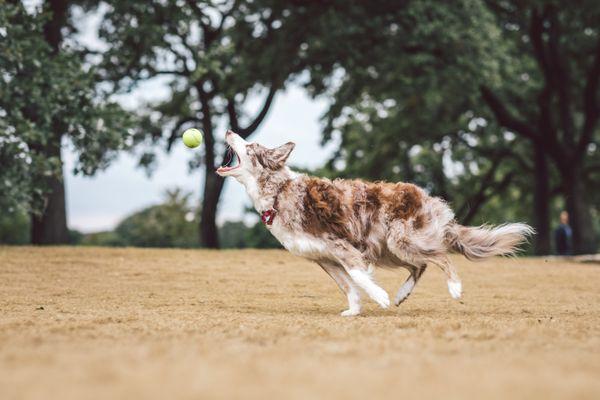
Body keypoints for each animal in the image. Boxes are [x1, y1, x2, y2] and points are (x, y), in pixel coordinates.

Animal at [217, 131, 536, 316]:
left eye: (250, 145)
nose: (229, 130)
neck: (279, 191)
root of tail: (429, 198)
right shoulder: (324, 257)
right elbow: (348, 285)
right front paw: (354, 311)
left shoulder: (342, 246)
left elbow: (359, 277)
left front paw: (379, 297)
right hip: (388, 249)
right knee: (420, 266)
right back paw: (402, 295)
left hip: (400, 240)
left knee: (441, 257)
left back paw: (454, 287)